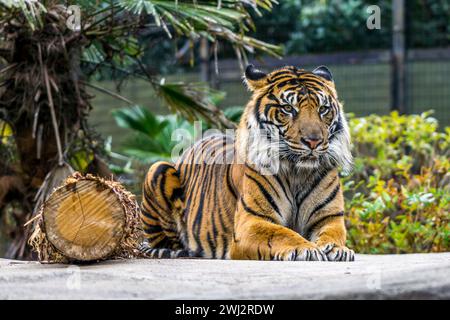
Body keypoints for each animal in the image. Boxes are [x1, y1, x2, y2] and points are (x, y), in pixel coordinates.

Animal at [139, 63, 356, 262]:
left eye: (323, 109)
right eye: (288, 108)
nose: (313, 141)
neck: (297, 173)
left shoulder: (329, 217)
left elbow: (333, 234)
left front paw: (338, 249)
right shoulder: (251, 222)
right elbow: (282, 233)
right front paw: (306, 248)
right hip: (158, 168)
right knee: (163, 243)